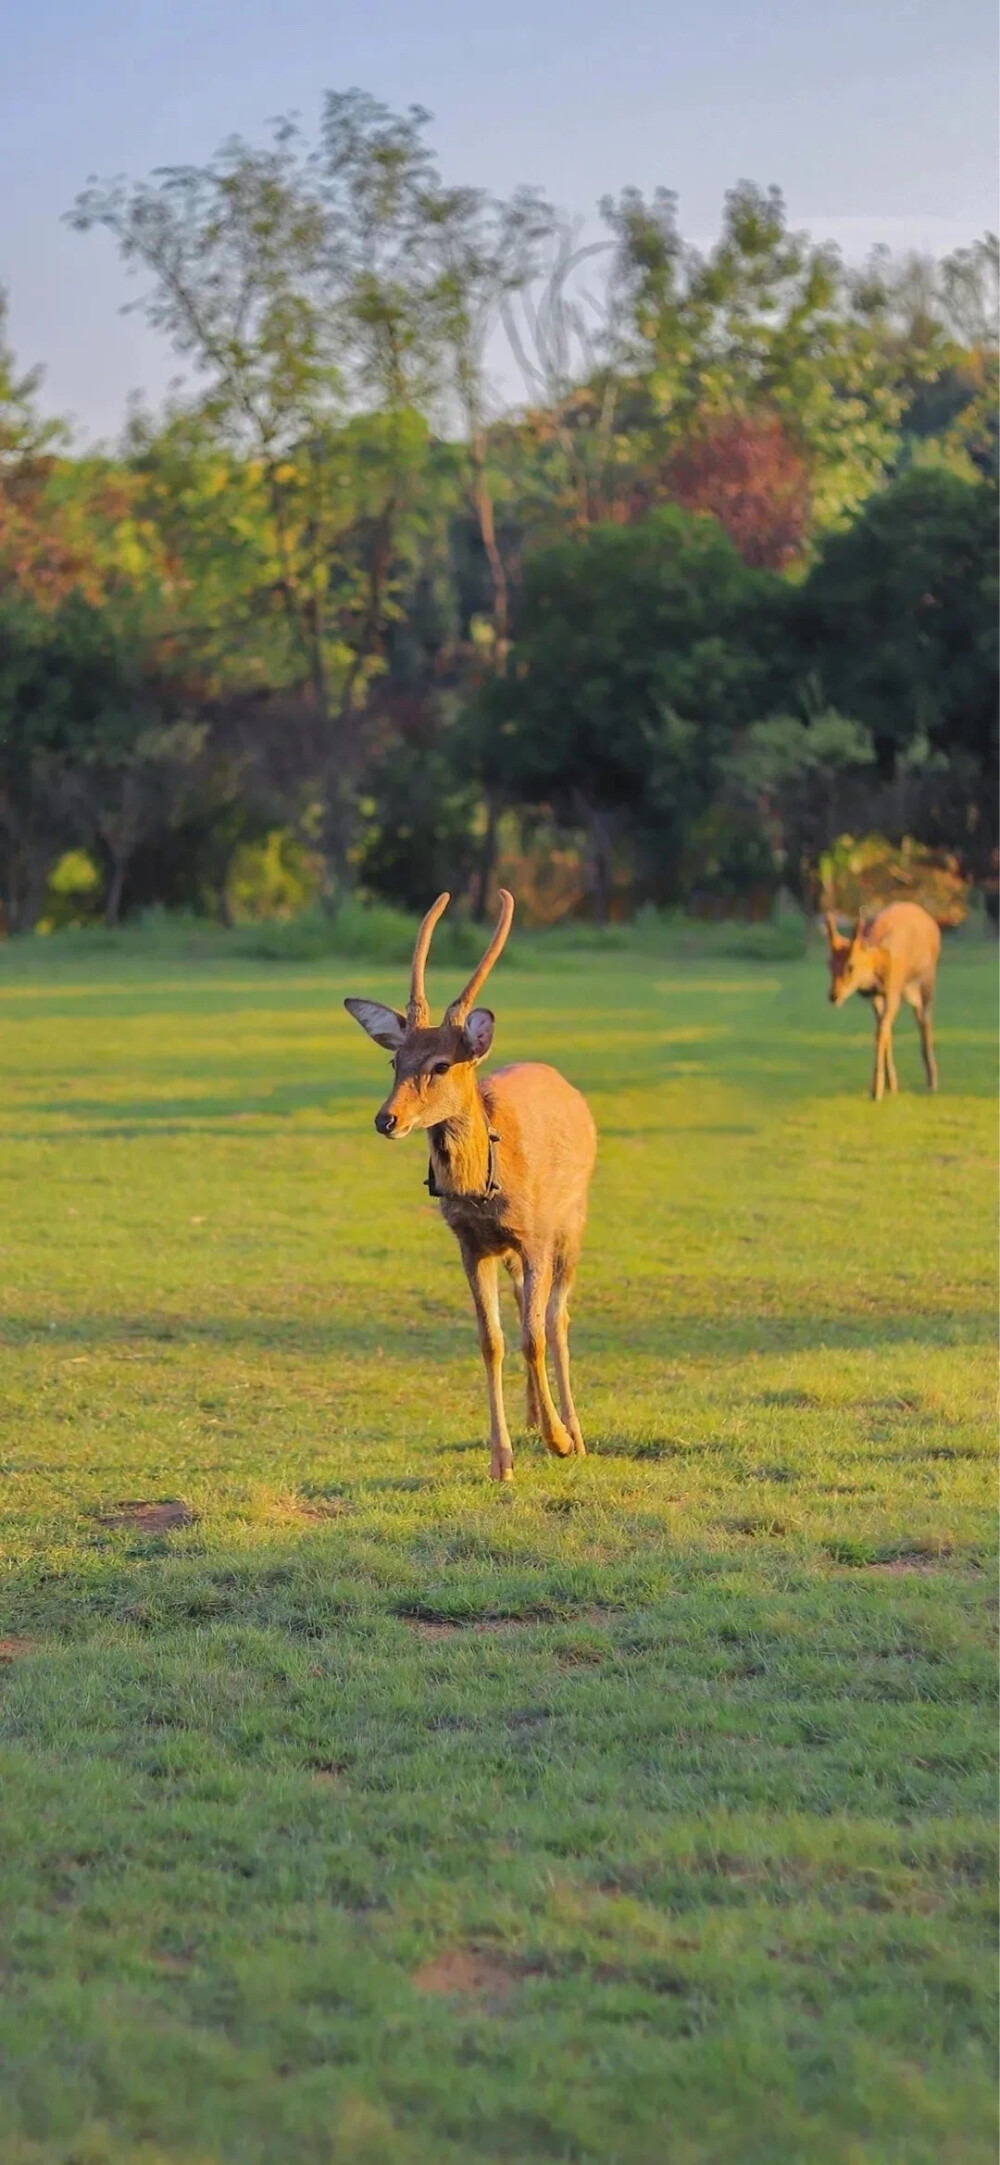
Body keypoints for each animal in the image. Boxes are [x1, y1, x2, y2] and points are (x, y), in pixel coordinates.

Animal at [346, 887, 593, 1480]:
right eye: (394, 1060)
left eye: (440, 1065)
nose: (386, 1119)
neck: (486, 1186)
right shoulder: (470, 1244)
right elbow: (492, 1340)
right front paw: (501, 1460)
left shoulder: (535, 1235)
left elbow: (533, 1335)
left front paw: (559, 1441)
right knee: (530, 1307)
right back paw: (535, 1417)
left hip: (572, 1222)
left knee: (558, 1316)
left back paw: (574, 1430)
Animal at [822, 900, 939, 1099]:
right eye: (829, 964)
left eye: (850, 966)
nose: (833, 996)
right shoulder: (876, 996)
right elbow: (884, 1031)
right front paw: (890, 1085)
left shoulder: (893, 990)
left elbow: (881, 1032)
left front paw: (876, 1091)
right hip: (911, 991)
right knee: (918, 1016)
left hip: (927, 977)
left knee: (926, 1019)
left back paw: (932, 1081)